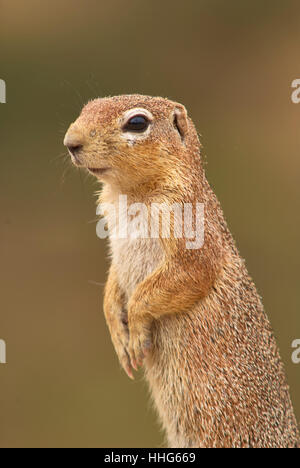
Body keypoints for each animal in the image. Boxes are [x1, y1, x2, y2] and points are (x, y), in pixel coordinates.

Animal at [62, 93, 298, 448]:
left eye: (137, 123)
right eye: (87, 107)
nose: (70, 142)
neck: (128, 194)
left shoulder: (188, 229)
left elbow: (182, 277)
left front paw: (136, 332)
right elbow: (114, 283)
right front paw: (119, 333)